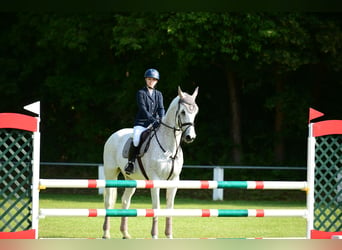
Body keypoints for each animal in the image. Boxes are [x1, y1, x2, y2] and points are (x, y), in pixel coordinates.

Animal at [102, 87, 198, 239]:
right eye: (183, 112)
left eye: (195, 111)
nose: (190, 137)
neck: (169, 146)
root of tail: (114, 135)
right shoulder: (156, 180)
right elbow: (156, 207)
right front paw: (154, 235)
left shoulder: (174, 181)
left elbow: (169, 208)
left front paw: (169, 235)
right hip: (111, 174)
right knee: (108, 202)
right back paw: (106, 233)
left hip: (131, 179)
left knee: (125, 201)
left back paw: (125, 233)